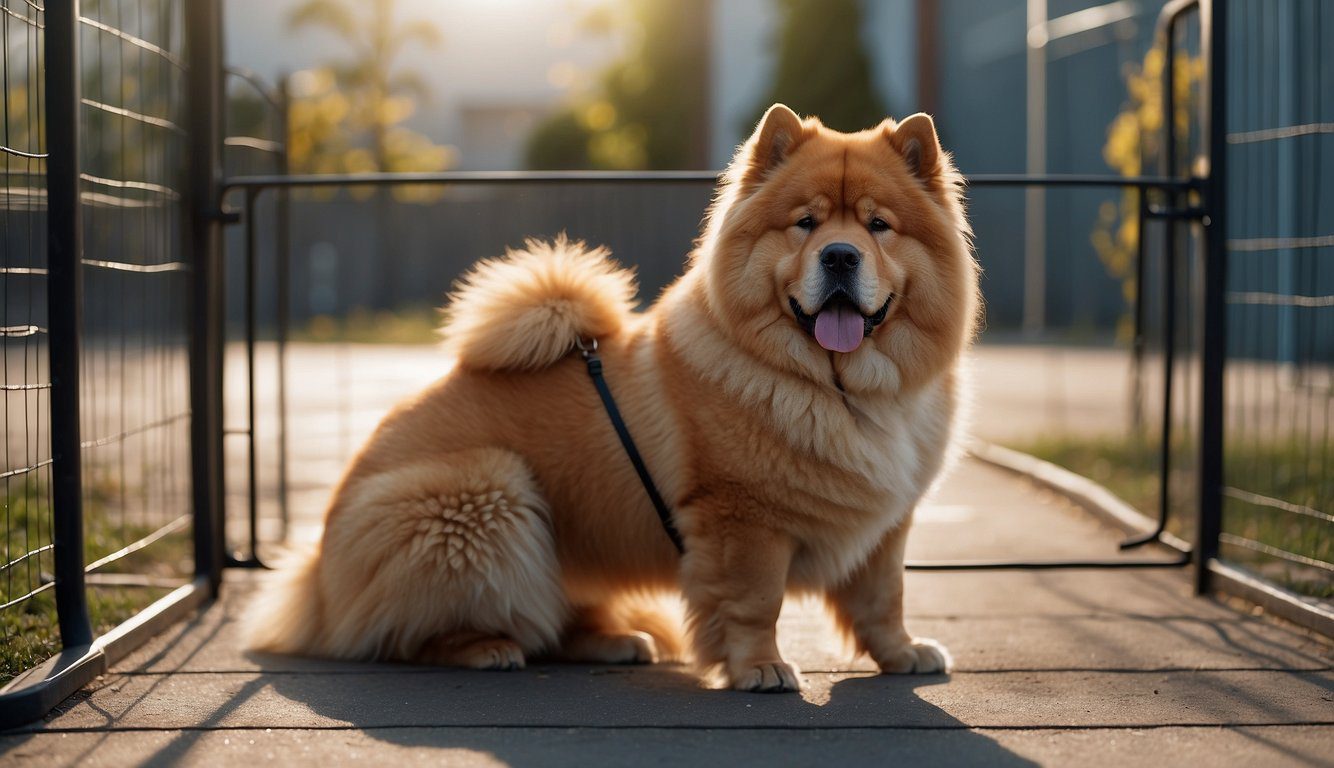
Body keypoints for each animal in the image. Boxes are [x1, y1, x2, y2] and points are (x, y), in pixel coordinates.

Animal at [248, 103, 981, 688]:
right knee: (412, 631)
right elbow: (755, 603)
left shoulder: (887, 523)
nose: (839, 255)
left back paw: (617, 640)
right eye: (805, 224)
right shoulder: (743, 521)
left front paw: (903, 654)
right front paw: (761, 668)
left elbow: (884, 598)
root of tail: (315, 573)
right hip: (487, 493)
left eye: (878, 226)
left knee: (557, 620)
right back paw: (484, 647)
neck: (841, 389)